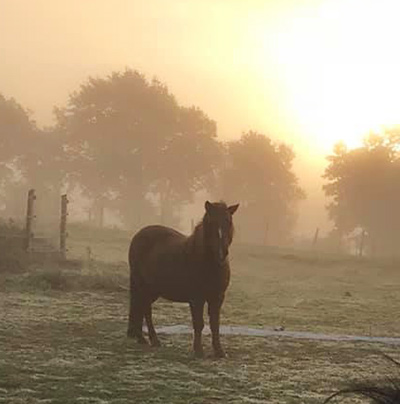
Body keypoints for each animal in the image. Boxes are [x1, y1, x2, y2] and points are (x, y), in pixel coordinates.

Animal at [128, 201, 239, 356]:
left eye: (228, 221)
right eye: (211, 222)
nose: (222, 252)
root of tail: (139, 235)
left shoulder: (217, 297)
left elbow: (215, 324)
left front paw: (219, 351)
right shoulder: (197, 298)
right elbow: (199, 323)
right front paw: (198, 351)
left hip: (153, 290)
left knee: (142, 307)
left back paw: (143, 338)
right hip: (142, 286)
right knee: (144, 309)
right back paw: (152, 339)